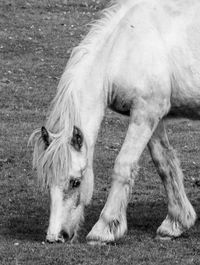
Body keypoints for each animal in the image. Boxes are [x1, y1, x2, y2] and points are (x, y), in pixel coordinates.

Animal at [29, 0, 200, 243]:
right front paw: (176, 223)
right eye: (47, 182)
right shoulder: (151, 116)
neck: (124, 48)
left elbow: (123, 165)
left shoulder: (145, 113)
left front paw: (104, 229)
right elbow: (164, 162)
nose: (55, 237)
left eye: (75, 182)